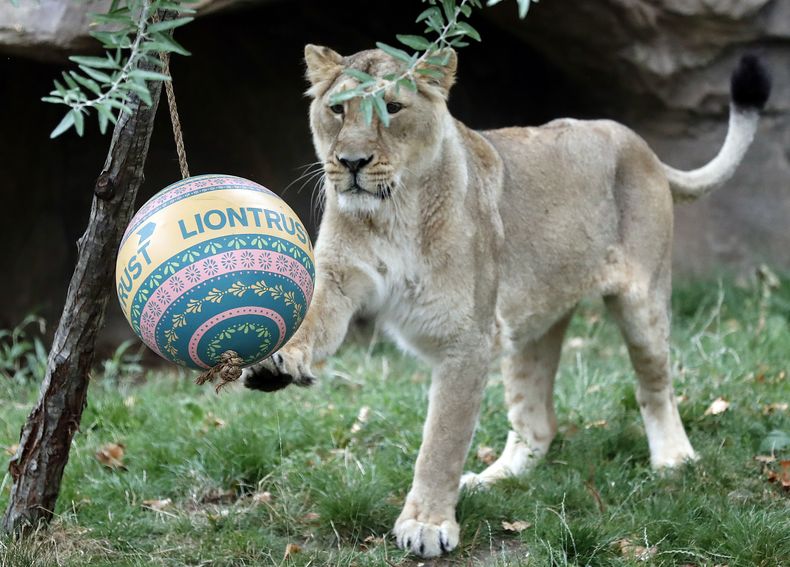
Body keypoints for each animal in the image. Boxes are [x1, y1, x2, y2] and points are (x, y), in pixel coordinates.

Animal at [242, 45, 771, 557]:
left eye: (392, 108)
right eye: (337, 110)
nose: (351, 162)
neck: (390, 215)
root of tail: (637, 141)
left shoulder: (468, 339)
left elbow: (442, 440)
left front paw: (427, 524)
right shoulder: (339, 278)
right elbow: (311, 322)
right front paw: (275, 362)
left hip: (642, 302)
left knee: (655, 385)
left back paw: (673, 461)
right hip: (527, 326)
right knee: (537, 421)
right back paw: (493, 480)